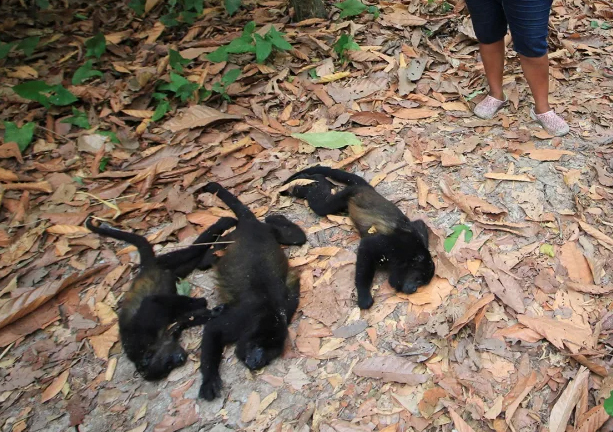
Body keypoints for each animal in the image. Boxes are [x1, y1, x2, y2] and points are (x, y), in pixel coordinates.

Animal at [85, 218, 237, 380]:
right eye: (168, 368)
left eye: (167, 363)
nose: (181, 359)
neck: (150, 346)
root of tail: (144, 268)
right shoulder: (170, 333)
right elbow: (186, 319)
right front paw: (214, 312)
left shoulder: (142, 329)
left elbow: (152, 301)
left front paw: (201, 302)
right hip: (172, 270)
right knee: (191, 261)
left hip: (163, 262)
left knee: (190, 251)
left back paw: (223, 224)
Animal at [196, 181, 306, 400]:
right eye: (257, 346)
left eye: (270, 353)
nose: (256, 361)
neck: (267, 314)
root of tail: (251, 225)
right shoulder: (242, 318)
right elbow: (213, 329)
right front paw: (209, 380)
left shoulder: (287, 308)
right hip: (232, 237)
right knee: (209, 258)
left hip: (269, 231)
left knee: (297, 237)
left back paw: (276, 218)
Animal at [282, 165, 436, 310]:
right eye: (419, 280)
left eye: (422, 283)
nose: (414, 289)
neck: (409, 253)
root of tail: (366, 188)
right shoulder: (390, 245)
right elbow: (366, 248)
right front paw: (364, 296)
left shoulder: (416, 234)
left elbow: (419, 223)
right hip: (347, 194)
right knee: (321, 205)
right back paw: (309, 183)